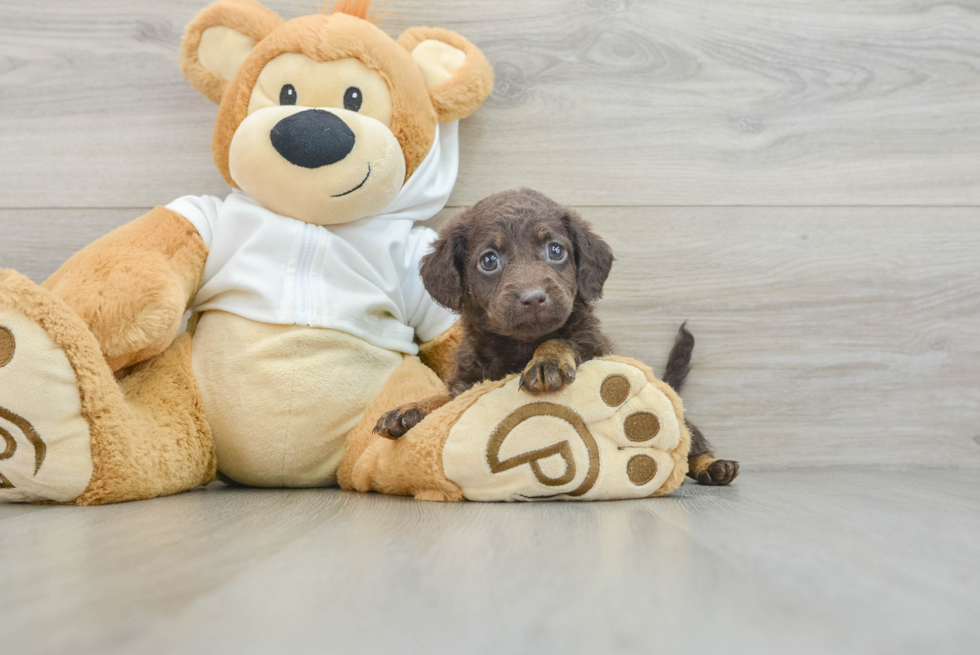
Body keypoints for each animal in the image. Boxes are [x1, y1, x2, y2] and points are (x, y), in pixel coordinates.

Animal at [374, 187, 736, 484]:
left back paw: (713, 465)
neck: (520, 346)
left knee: (691, 442)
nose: (534, 298)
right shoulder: (470, 382)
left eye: (555, 250)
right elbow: (446, 399)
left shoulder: (593, 346)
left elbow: (560, 339)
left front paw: (546, 362)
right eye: (489, 260)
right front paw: (412, 409)